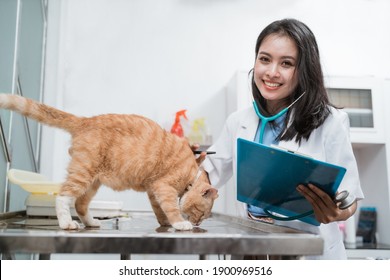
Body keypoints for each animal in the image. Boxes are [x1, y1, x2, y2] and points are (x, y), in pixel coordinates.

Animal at [0, 93, 218, 230]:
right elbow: (171, 208)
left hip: (93, 182)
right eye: (201, 213)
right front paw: (179, 223)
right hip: (82, 173)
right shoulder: (163, 187)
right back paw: (66, 223)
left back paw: (91, 222)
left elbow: (160, 210)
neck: (191, 173)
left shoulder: (153, 189)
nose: (198, 224)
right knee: (63, 197)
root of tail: (85, 120)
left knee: (80, 204)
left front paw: (165, 222)